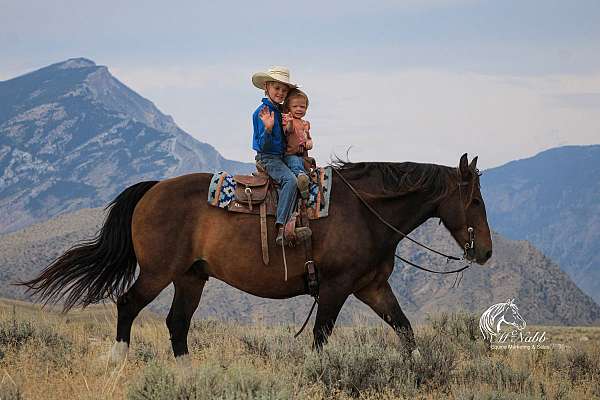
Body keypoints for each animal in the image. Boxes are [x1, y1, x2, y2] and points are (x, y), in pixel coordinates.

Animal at [19, 153, 492, 362]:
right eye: (474, 201)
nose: (485, 251)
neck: (365, 210)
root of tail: (153, 189)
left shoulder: (372, 287)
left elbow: (405, 330)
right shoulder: (336, 288)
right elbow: (321, 337)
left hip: (191, 277)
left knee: (177, 324)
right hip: (158, 272)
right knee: (127, 305)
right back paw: (119, 359)